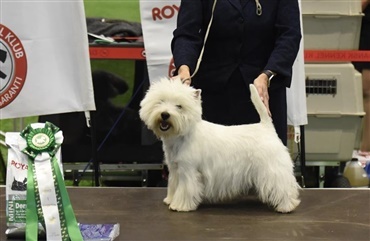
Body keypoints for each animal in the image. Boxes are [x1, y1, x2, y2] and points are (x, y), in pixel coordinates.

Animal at [139, 77, 300, 213]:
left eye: (179, 106)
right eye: (160, 101)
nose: (165, 114)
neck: (181, 136)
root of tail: (266, 127)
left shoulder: (187, 170)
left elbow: (185, 188)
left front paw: (179, 205)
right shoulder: (174, 169)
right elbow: (174, 185)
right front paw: (170, 199)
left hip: (272, 168)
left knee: (283, 186)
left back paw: (286, 206)